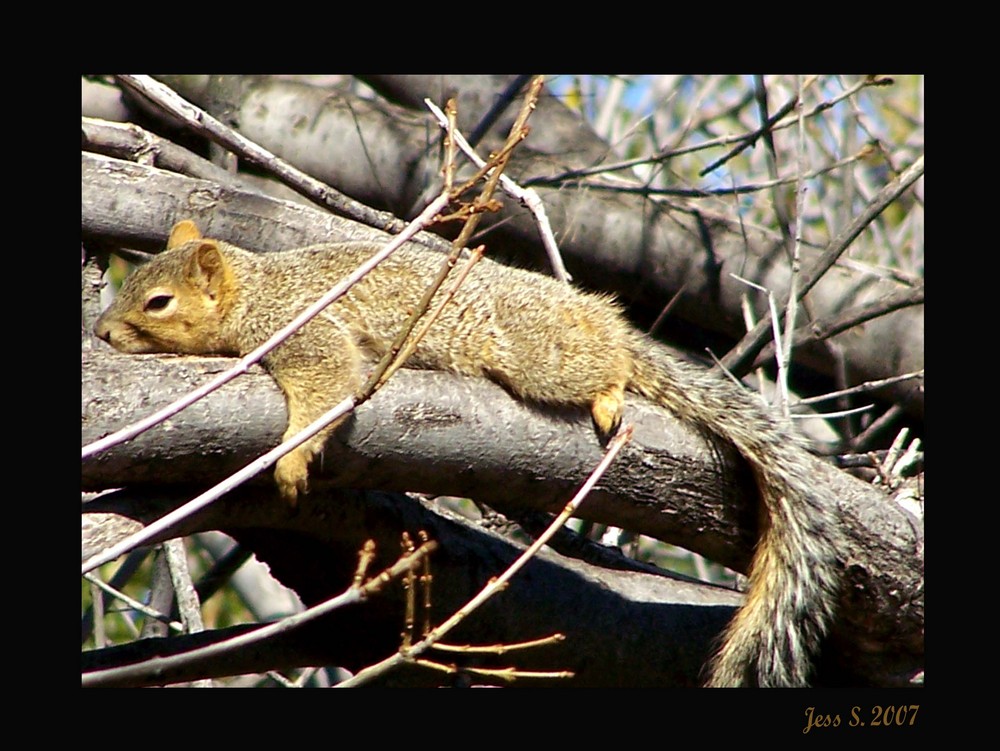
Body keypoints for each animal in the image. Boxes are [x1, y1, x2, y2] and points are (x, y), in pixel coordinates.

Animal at [94, 217, 844, 688]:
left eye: (158, 302)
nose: (99, 333)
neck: (256, 290)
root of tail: (590, 312)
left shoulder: (308, 331)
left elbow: (326, 385)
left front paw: (290, 460)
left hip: (539, 354)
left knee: (606, 362)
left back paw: (610, 383)